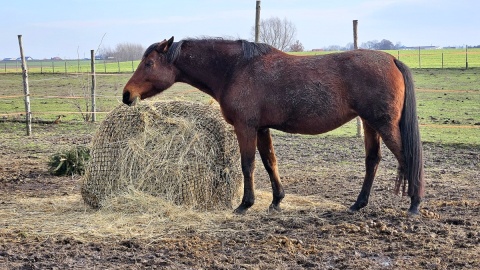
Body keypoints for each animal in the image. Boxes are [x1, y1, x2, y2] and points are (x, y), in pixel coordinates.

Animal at [123, 36, 424, 215]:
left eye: (149, 63)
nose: (126, 95)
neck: (236, 69)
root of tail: (391, 59)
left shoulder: (245, 127)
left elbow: (248, 165)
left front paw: (245, 204)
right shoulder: (261, 128)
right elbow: (270, 162)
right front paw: (277, 200)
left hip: (384, 125)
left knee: (407, 157)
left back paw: (414, 204)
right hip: (371, 125)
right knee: (372, 161)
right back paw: (359, 204)